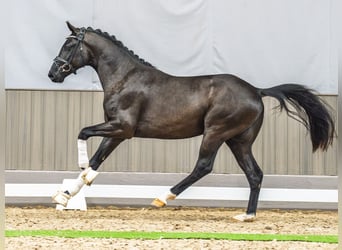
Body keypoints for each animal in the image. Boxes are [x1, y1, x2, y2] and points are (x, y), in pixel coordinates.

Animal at [48, 21, 334, 221]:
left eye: (69, 45)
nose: (53, 73)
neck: (125, 78)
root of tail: (256, 90)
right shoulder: (117, 132)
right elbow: (97, 160)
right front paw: (65, 196)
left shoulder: (123, 128)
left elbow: (83, 133)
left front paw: (79, 171)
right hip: (238, 141)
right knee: (254, 174)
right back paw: (247, 215)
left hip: (216, 133)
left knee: (204, 166)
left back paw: (162, 198)